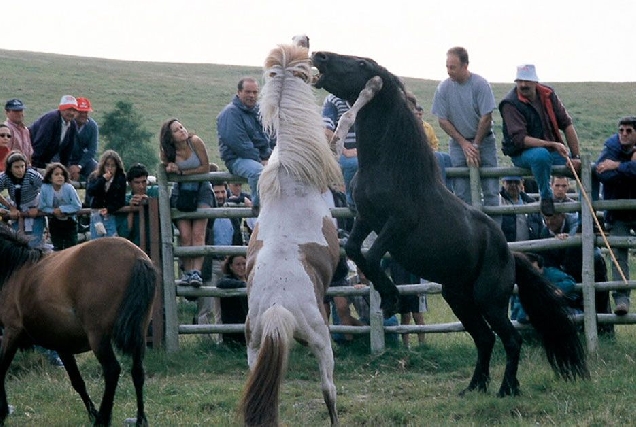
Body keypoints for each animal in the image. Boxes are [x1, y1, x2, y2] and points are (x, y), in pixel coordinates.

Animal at [0, 224, 158, 424]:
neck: (15, 269)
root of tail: (136, 256)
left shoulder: (11, 331)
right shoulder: (61, 344)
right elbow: (77, 381)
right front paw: (92, 413)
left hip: (98, 337)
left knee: (112, 370)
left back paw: (103, 419)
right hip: (139, 333)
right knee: (137, 371)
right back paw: (140, 419)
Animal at [240, 44, 342, 427]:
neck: (290, 170)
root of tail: (276, 308)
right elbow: (347, 122)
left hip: (254, 347)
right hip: (320, 339)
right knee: (328, 389)